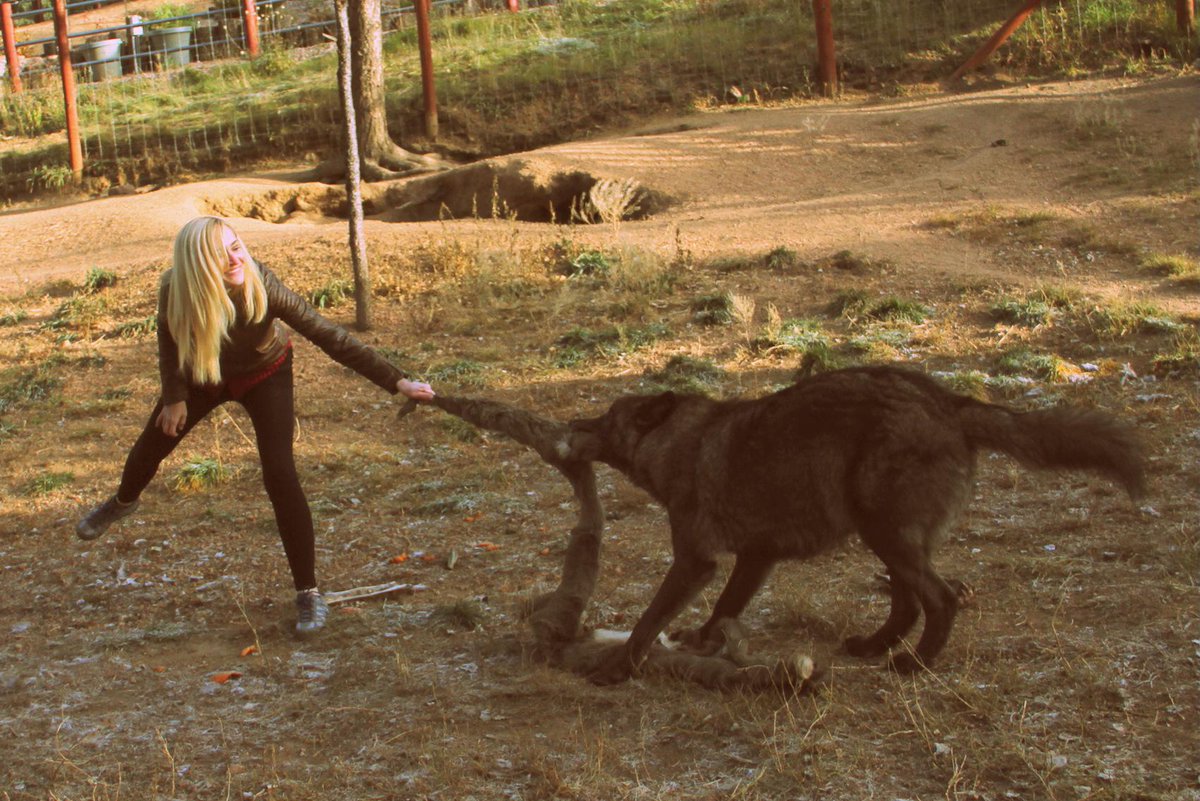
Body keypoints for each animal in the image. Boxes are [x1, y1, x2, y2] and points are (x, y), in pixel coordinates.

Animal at [567, 365, 1145, 685]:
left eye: (605, 419)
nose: (573, 423)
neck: (681, 443)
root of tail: (949, 402)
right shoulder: (756, 558)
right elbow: (723, 611)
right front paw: (705, 644)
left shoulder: (695, 563)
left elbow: (647, 623)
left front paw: (616, 669)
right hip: (887, 540)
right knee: (908, 603)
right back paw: (874, 647)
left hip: (884, 534)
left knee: (940, 600)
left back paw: (914, 664)